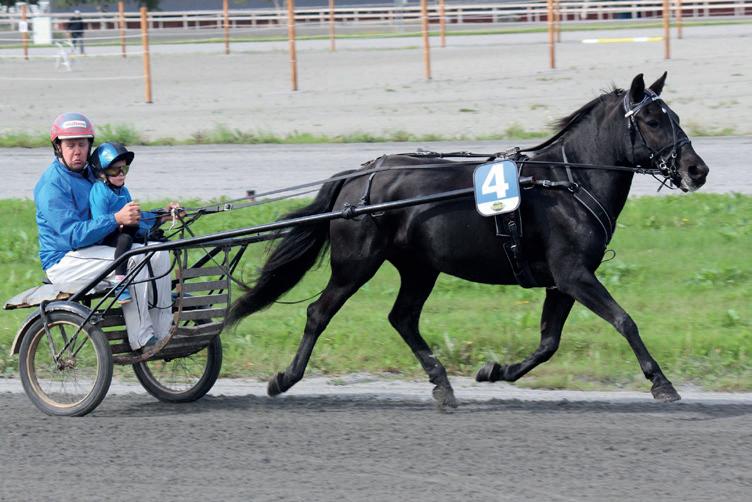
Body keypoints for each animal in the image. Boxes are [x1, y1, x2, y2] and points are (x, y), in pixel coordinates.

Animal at [228, 72, 709, 408]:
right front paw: (661, 383)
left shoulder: (562, 281)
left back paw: (442, 383)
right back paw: (285, 378)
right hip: (355, 264)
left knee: (402, 318)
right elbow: (624, 321)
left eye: (675, 117)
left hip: (419, 268)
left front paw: (495, 371)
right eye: (652, 120)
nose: (697, 169)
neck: (565, 182)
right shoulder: (574, 274)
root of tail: (356, 177)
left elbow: (548, 343)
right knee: (319, 313)